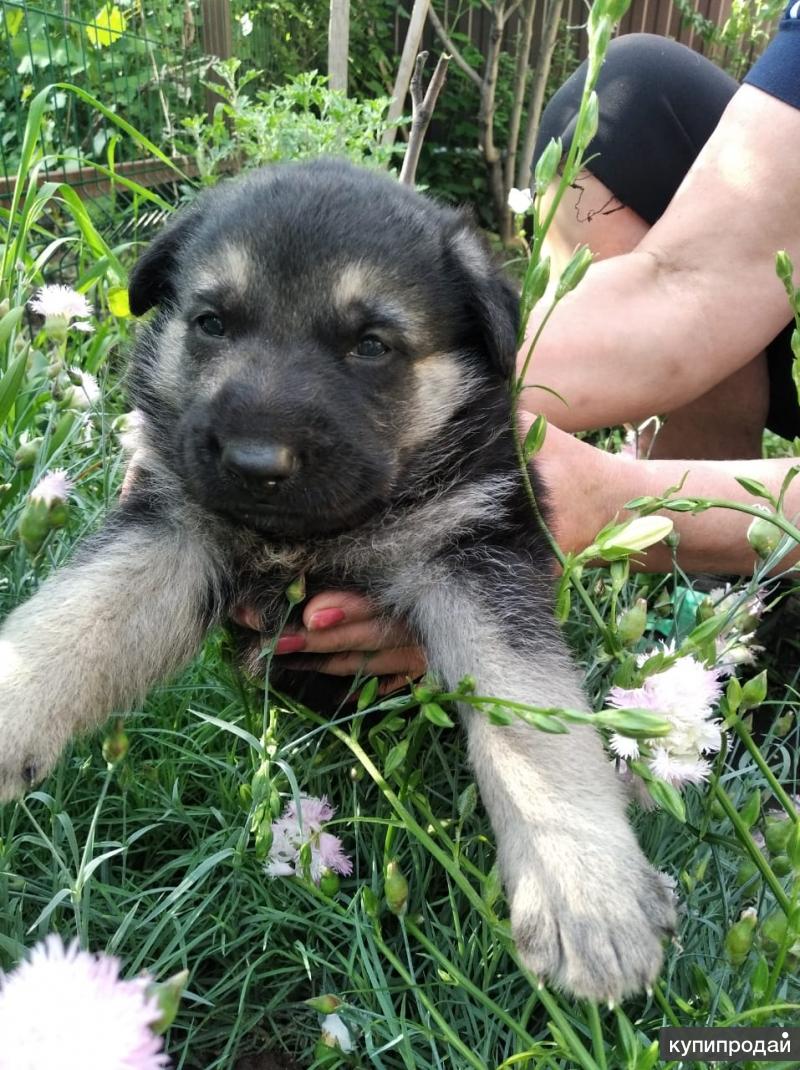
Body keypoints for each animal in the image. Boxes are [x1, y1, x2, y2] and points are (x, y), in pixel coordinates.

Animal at [0, 160, 675, 1001]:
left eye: (372, 345)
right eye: (212, 323)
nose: (256, 463)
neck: (315, 536)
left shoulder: (477, 550)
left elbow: (534, 723)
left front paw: (588, 893)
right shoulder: (173, 530)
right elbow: (75, 618)